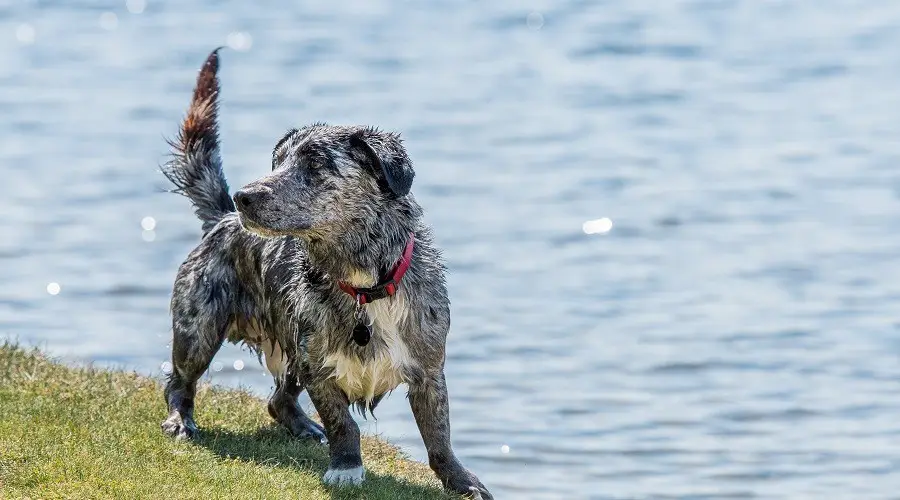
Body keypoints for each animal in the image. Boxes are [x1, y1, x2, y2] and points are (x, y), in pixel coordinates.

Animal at [156, 47, 492, 500]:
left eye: (315, 163)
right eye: (278, 161)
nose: (244, 196)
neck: (363, 284)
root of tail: (221, 219)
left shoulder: (429, 370)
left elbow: (439, 437)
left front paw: (461, 480)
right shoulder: (318, 368)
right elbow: (343, 424)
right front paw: (347, 467)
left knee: (278, 401)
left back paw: (301, 426)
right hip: (200, 330)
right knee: (180, 383)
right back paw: (181, 421)